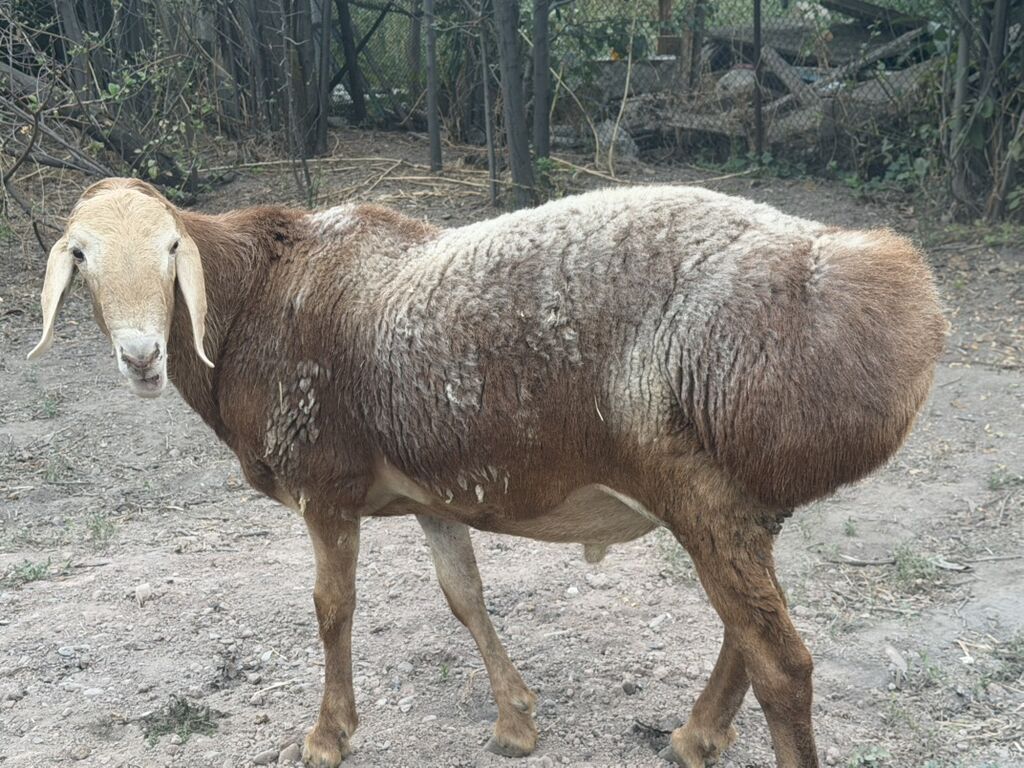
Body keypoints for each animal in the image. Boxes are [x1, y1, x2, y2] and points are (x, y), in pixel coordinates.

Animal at [29, 177, 945, 768]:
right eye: (81, 257)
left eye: (170, 249)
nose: (141, 356)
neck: (256, 295)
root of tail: (899, 300)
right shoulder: (430, 489)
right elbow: (463, 596)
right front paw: (516, 722)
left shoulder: (326, 483)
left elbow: (332, 609)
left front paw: (327, 736)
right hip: (743, 500)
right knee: (746, 637)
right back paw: (696, 736)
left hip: (702, 490)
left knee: (783, 665)